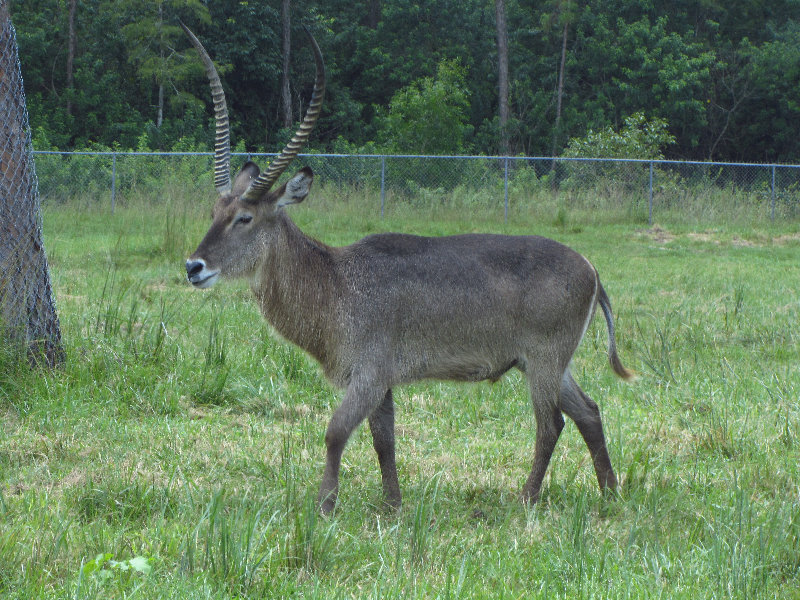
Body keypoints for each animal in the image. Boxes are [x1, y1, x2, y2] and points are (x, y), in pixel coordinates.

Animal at [184, 22, 636, 510]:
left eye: (245, 218)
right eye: (214, 211)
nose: (193, 266)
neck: (335, 281)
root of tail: (592, 270)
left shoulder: (368, 375)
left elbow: (335, 432)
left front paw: (325, 506)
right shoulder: (381, 383)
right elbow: (385, 440)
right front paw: (392, 505)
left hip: (545, 360)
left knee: (552, 424)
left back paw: (527, 497)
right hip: (548, 363)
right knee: (589, 412)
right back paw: (610, 492)